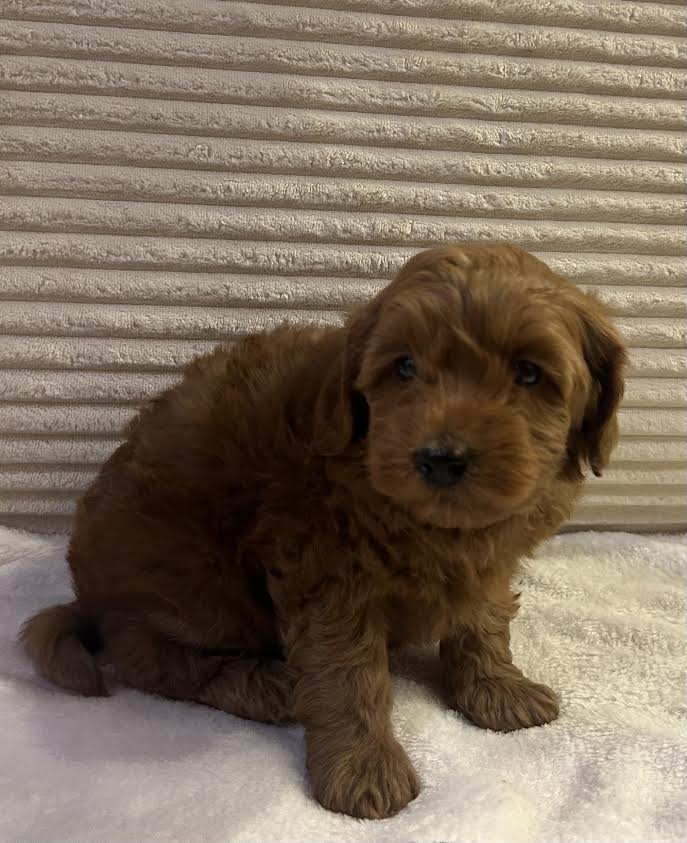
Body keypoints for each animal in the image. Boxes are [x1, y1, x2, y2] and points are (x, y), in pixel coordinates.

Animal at [21, 244, 626, 819]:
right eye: (404, 368)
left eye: (528, 373)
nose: (441, 458)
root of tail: (86, 600)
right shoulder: (326, 571)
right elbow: (346, 675)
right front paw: (363, 771)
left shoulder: (488, 559)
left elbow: (484, 618)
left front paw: (497, 688)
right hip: (196, 586)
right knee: (151, 657)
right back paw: (268, 685)